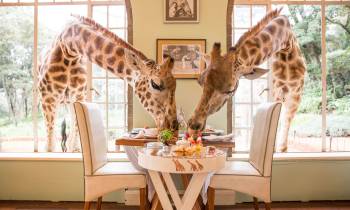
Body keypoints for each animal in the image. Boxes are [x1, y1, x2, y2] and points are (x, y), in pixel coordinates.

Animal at [39, 16, 178, 151]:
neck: (69, 49)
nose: (174, 134)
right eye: (155, 84)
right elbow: (50, 147)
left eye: (175, 86)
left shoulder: (78, 96)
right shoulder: (48, 98)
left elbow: (74, 139)